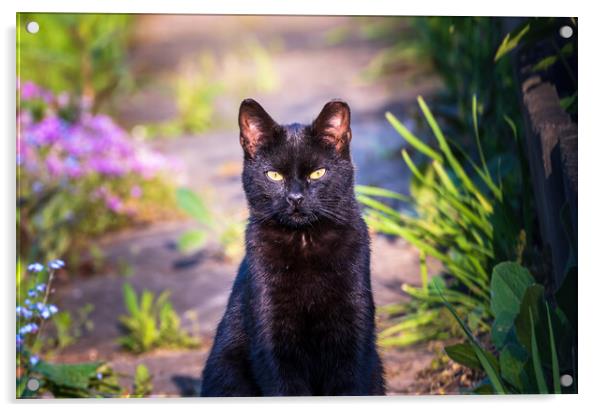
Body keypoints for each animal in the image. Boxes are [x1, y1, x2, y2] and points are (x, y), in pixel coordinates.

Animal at [199, 97, 382, 396]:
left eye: (318, 173)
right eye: (274, 175)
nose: (295, 198)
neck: (304, 240)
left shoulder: (353, 327)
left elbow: (349, 383)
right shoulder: (271, 332)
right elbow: (284, 385)